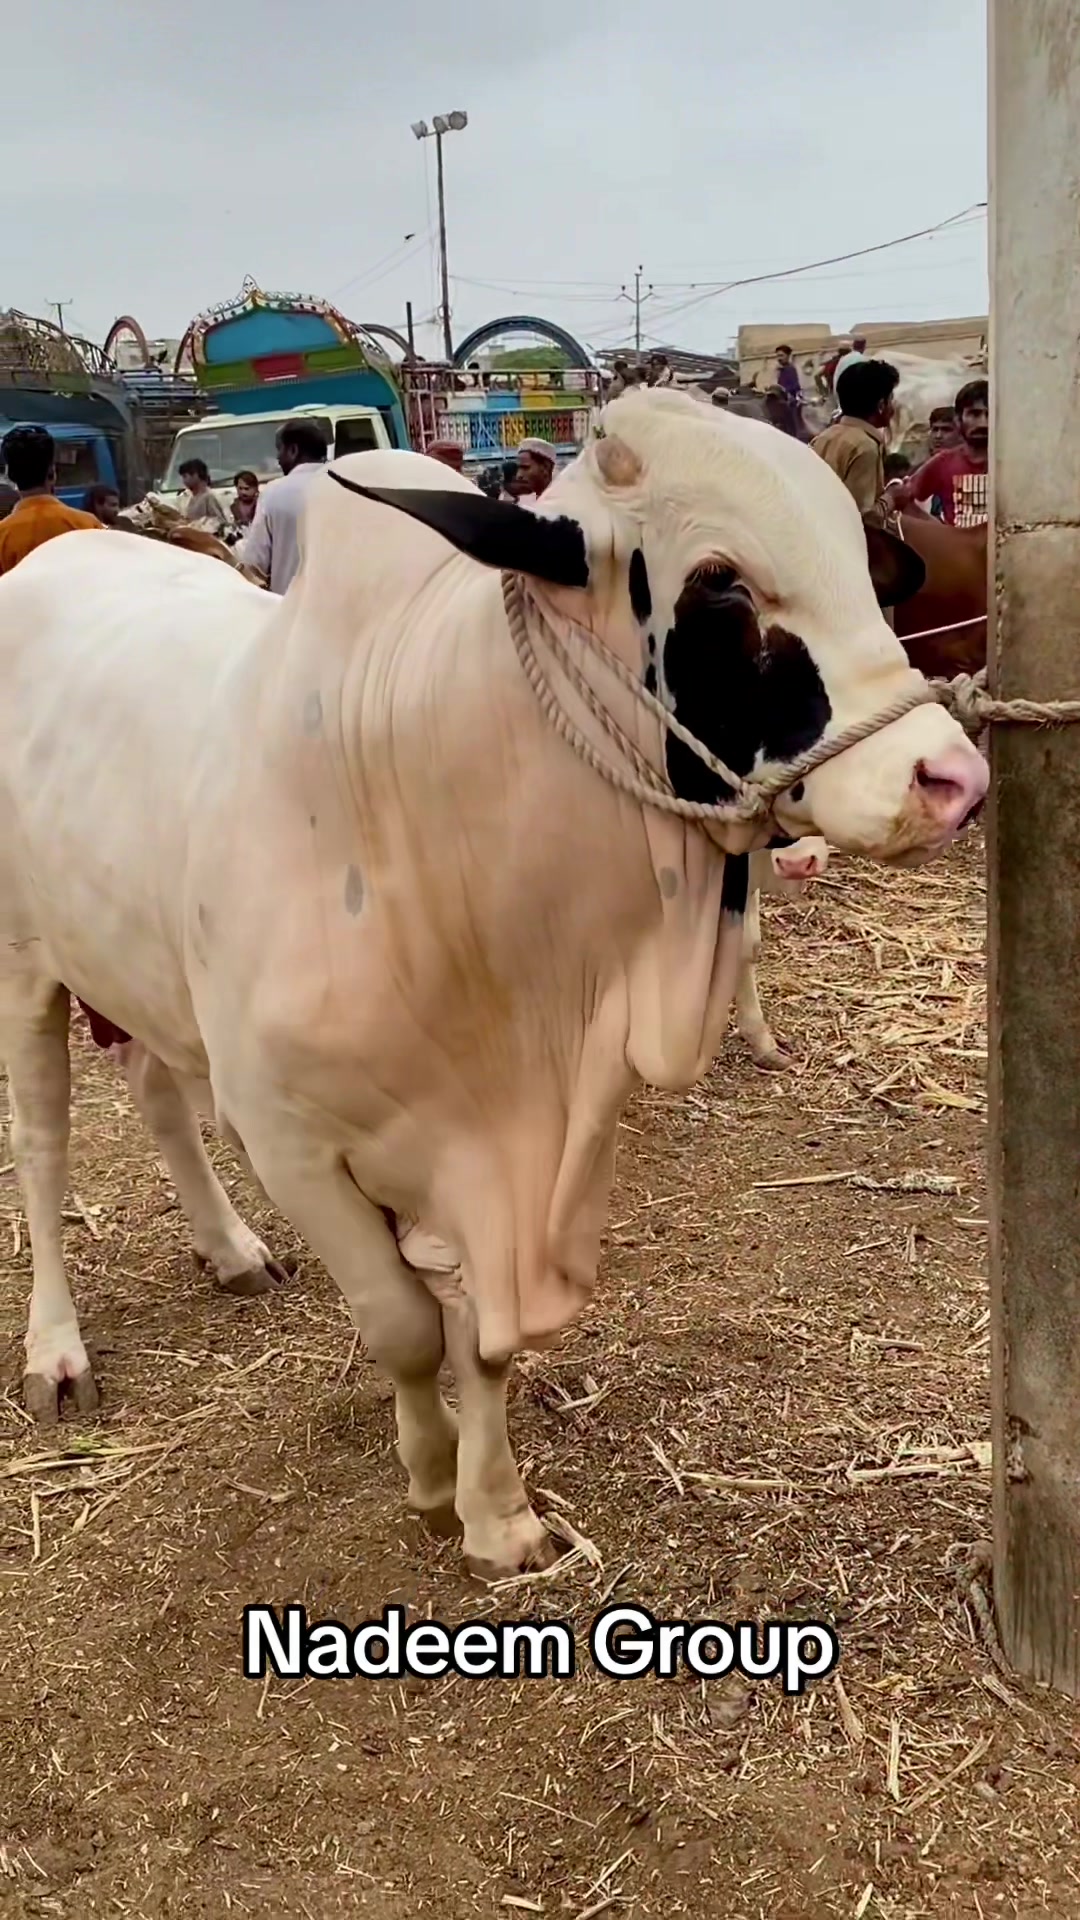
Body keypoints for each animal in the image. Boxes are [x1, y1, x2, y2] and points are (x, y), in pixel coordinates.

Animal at [0, 390, 987, 1578]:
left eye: (860, 560)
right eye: (720, 583)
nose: (952, 778)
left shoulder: (501, 1145)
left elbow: (476, 1339)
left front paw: (497, 1510)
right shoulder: (289, 1138)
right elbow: (403, 1326)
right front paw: (431, 1479)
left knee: (153, 1091)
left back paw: (230, 1248)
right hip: (23, 967)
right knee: (43, 1148)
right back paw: (56, 1348)